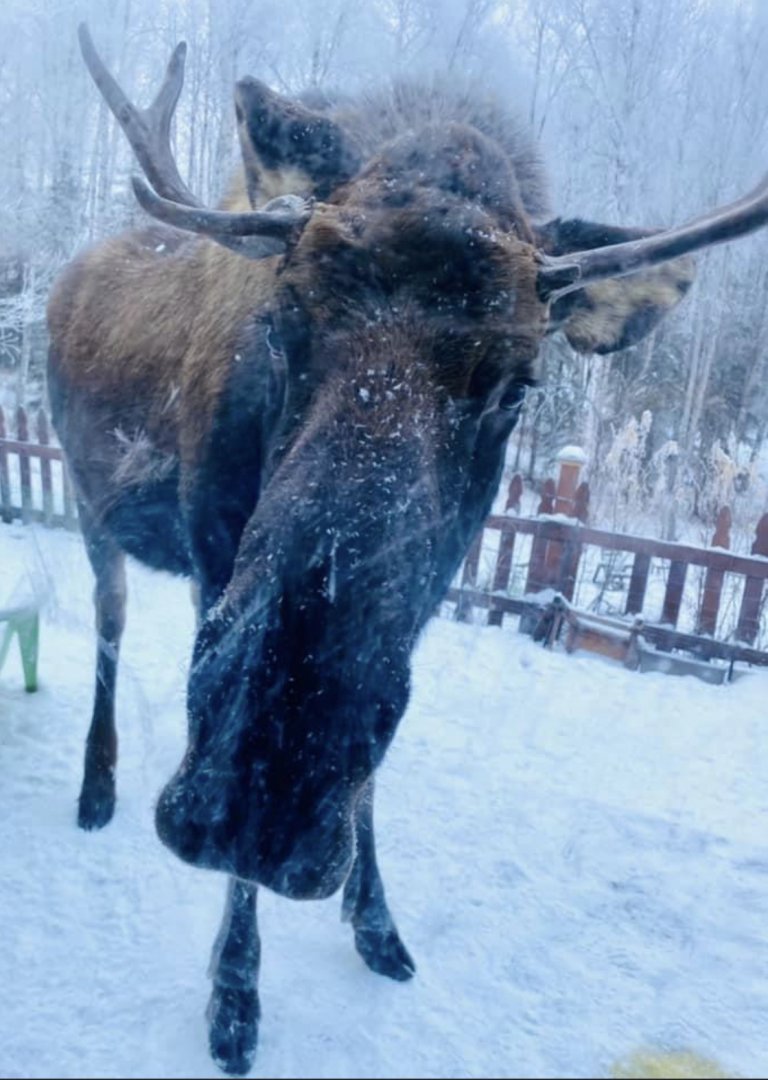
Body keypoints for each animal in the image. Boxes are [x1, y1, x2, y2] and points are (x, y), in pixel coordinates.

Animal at [46, 23, 768, 1075]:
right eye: (282, 320)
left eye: (520, 382)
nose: (271, 770)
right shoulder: (217, 560)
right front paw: (235, 994)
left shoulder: (408, 613)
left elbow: (375, 776)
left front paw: (376, 920)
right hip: (88, 500)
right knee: (108, 623)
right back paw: (96, 786)